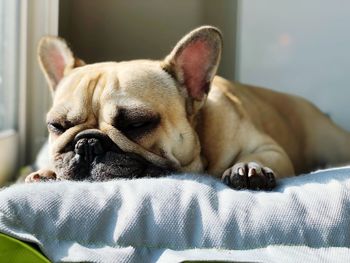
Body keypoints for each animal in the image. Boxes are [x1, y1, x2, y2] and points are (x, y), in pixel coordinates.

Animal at [26, 26, 350, 190]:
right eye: (57, 127)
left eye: (137, 124)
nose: (87, 144)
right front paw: (46, 172)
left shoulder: (270, 149)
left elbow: (259, 155)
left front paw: (249, 168)